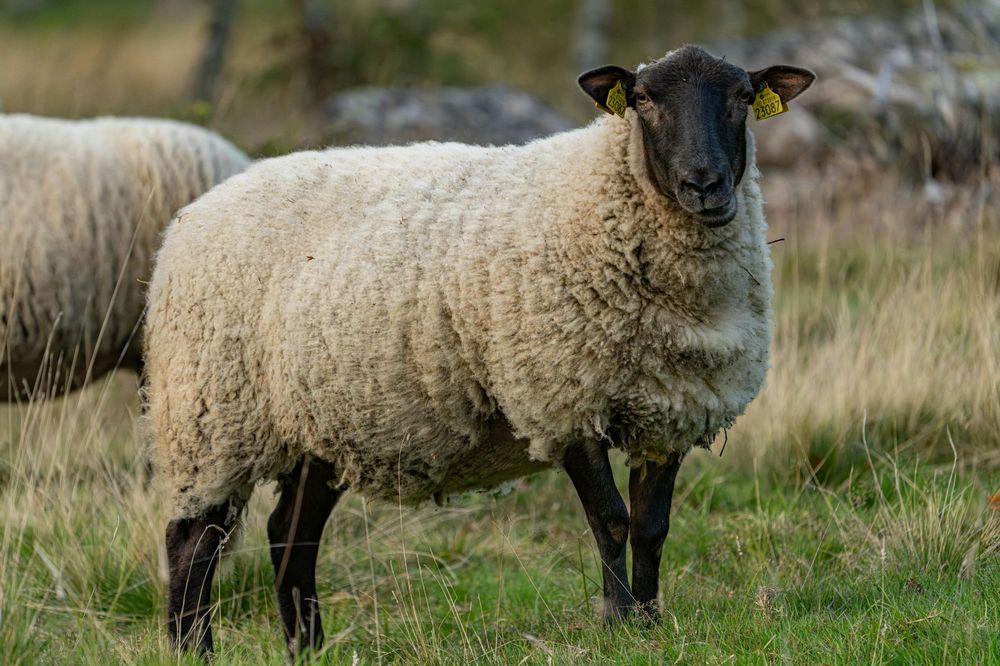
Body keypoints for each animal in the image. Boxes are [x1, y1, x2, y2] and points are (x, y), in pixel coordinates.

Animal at [146, 45, 814, 655]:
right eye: (644, 100)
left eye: (743, 97)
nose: (704, 185)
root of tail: (194, 212)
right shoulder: (562, 397)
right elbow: (610, 520)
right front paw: (618, 624)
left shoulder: (668, 407)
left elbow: (652, 527)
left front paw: (650, 624)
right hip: (211, 415)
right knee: (192, 543)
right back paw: (193, 650)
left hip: (320, 427)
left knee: (291, 534)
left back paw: (308, 648)